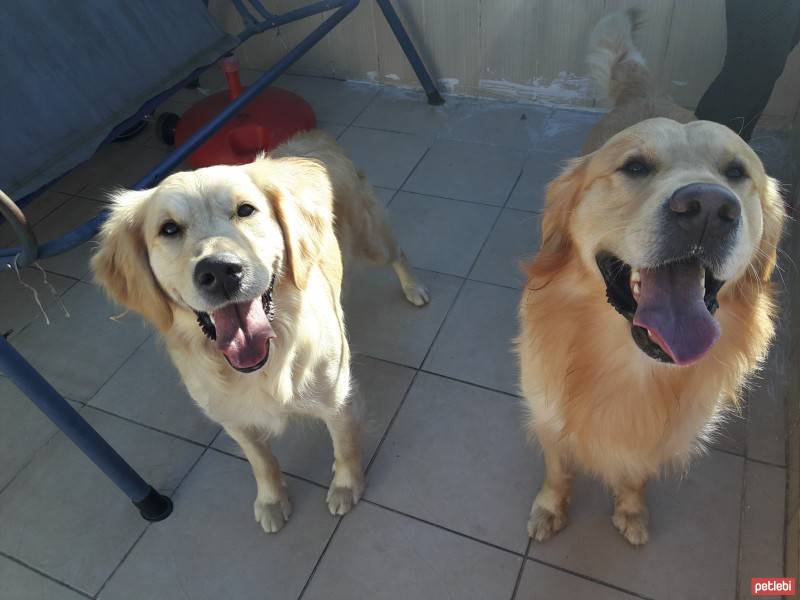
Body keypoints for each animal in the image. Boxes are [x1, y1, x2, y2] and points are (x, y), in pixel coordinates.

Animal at [93, 129, 428, 532]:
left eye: (245, 210)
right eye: (168, 229)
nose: (220, 271)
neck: (268, 357)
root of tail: (313, 139)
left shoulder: (337, 399)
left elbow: (345, 445)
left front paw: (346, 487)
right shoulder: (232, 418)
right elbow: (261, 461)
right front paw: (272, 501)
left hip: (371, 238)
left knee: (399, 254)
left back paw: (414, 288)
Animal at [516, 9, 784, 548]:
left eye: (737, 172)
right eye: (635, 166)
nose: (708, 208)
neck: (632, 368)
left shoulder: (658, 441)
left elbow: (635, 474)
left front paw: (632, 510)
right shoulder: (547, 413)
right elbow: (558, 470)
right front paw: (551, 508)